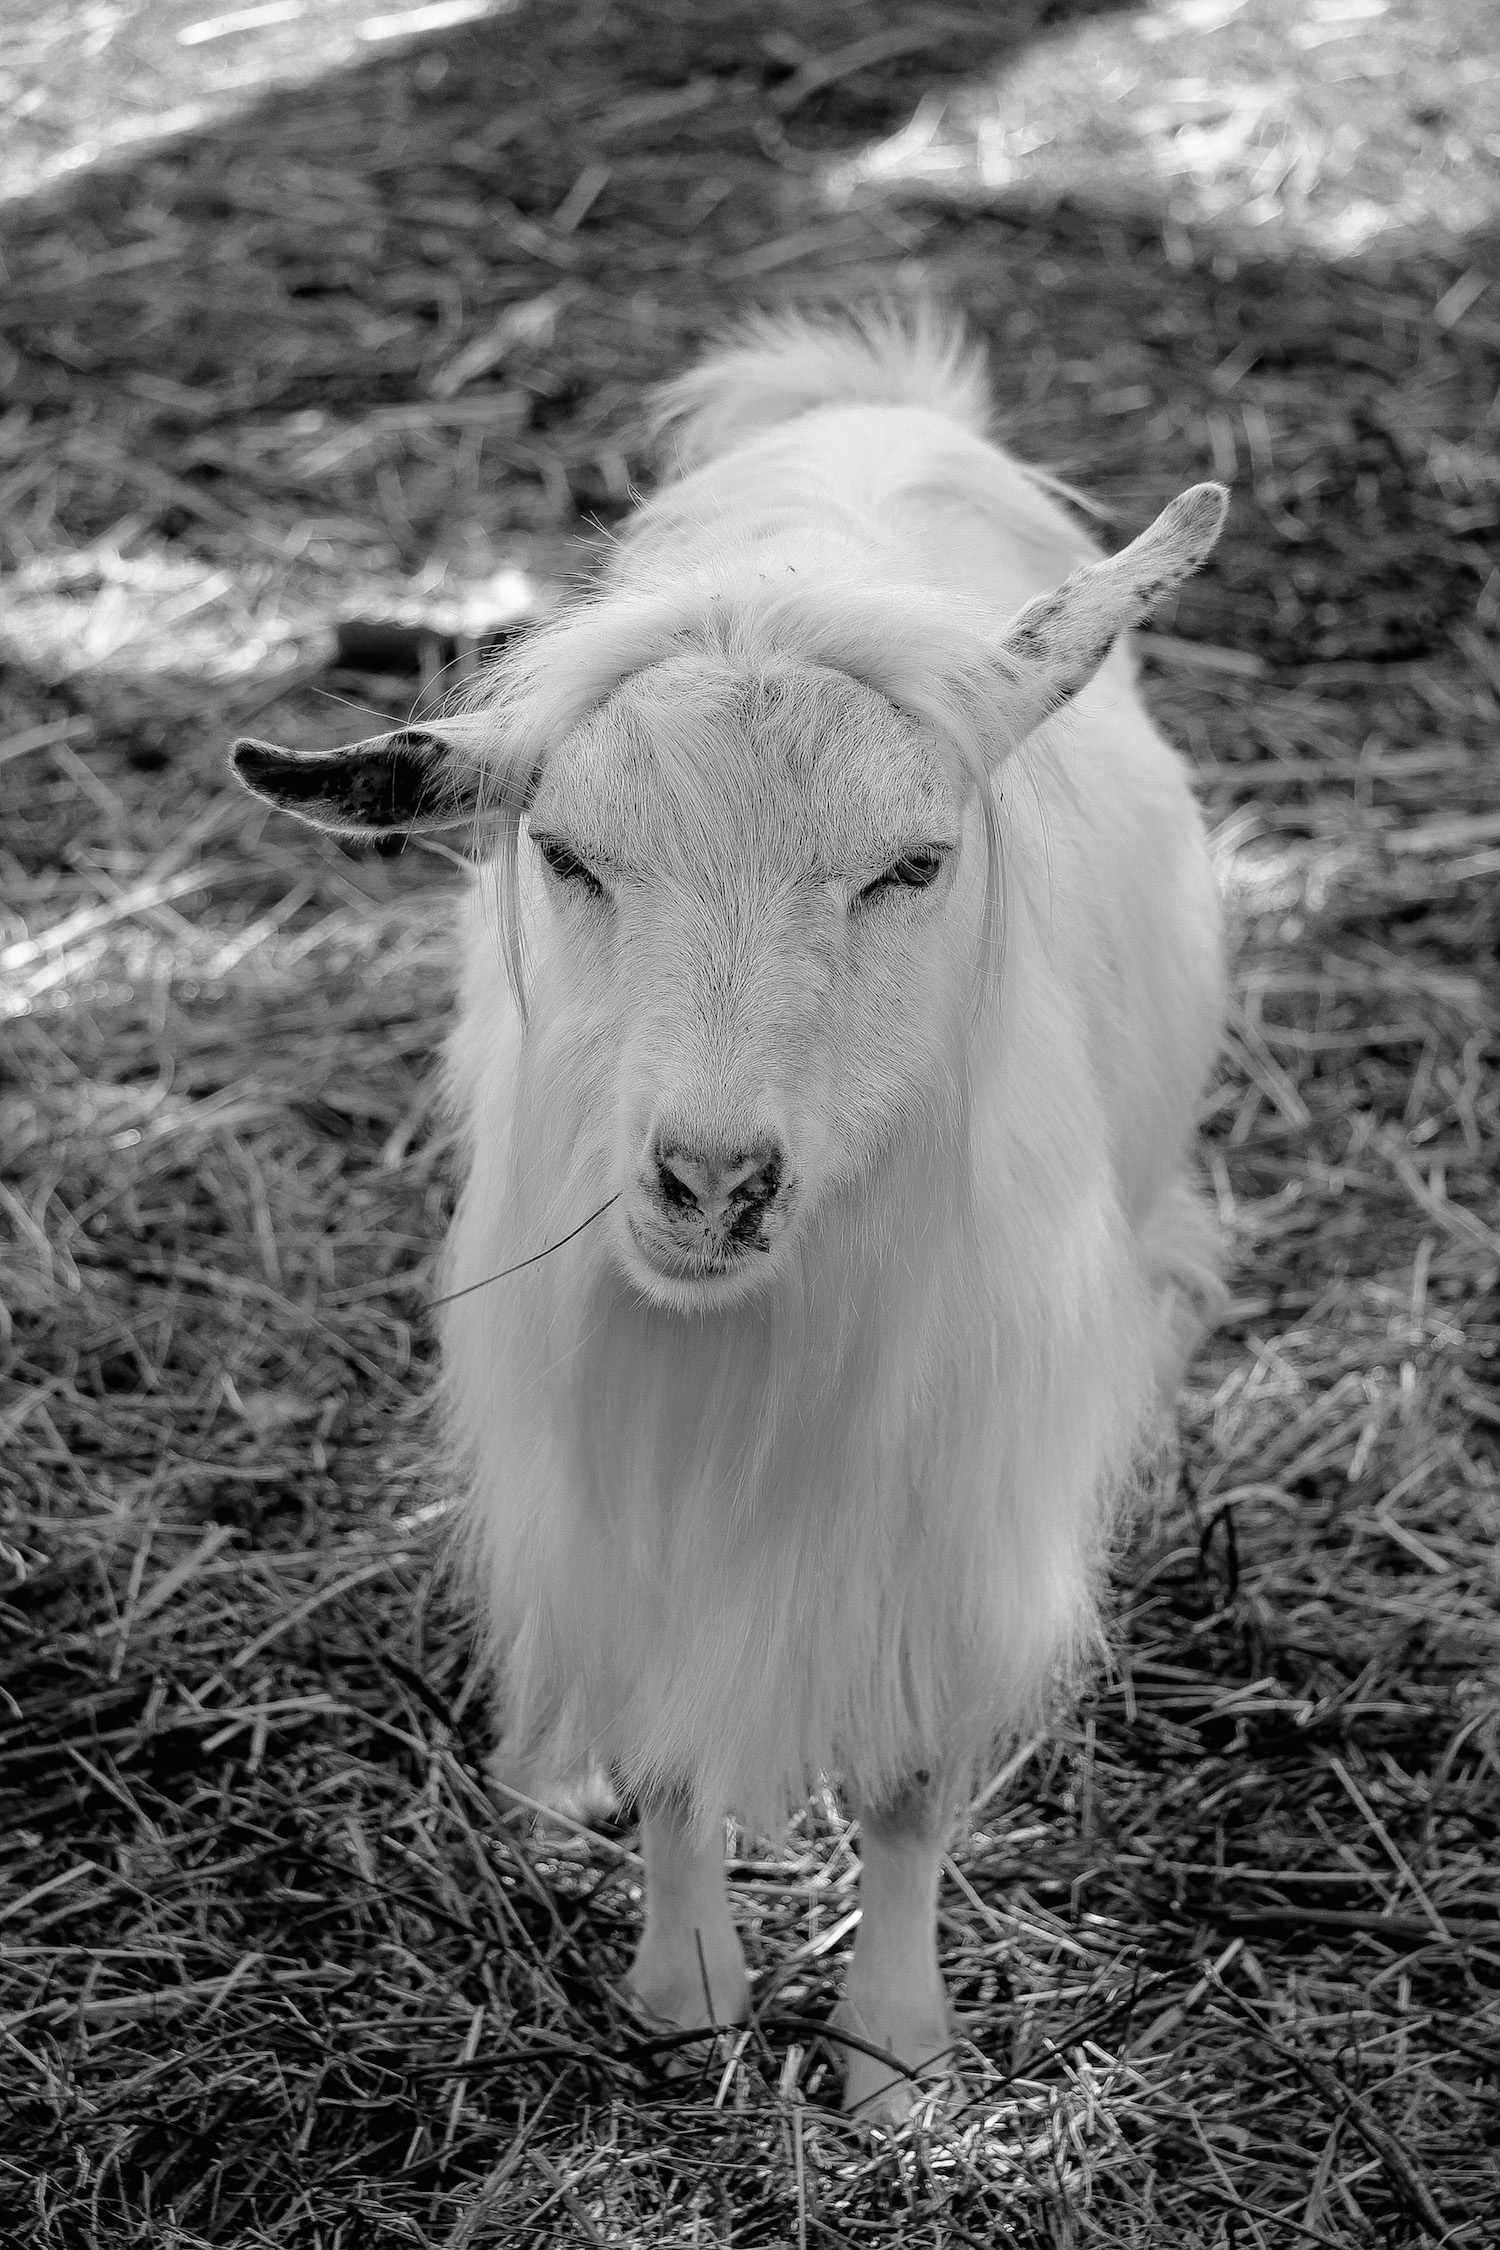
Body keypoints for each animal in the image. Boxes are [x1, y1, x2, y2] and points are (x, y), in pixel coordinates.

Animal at [233, 309, 1227, 2120]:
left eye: (914, 865)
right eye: (566, 855)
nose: (707, 1182)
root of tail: (870, 400)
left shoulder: (963, 1505)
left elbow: (908, 1782)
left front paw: (893, 2057)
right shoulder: (601, 1460)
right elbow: (669, 1736)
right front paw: (686, 2000)